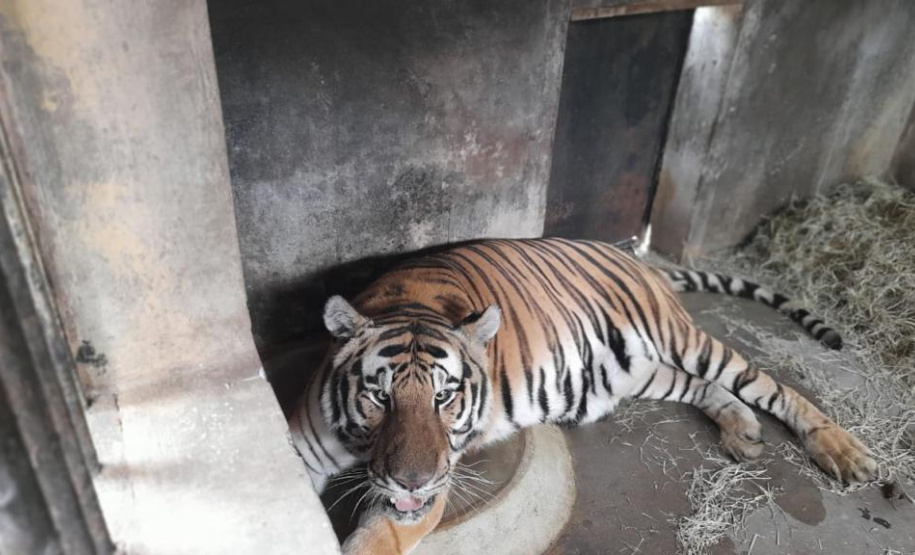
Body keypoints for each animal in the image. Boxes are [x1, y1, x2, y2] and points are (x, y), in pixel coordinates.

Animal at [288, 237, 875, 554]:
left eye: (445, 396)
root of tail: (640, 260)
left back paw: (844, 452)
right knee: (706, 388)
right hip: (640, 370)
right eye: (379, 397)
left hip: (684, 340)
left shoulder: (429, 491)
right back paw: (742, 432)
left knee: (770, 385)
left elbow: (374, 537)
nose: (414, 481)